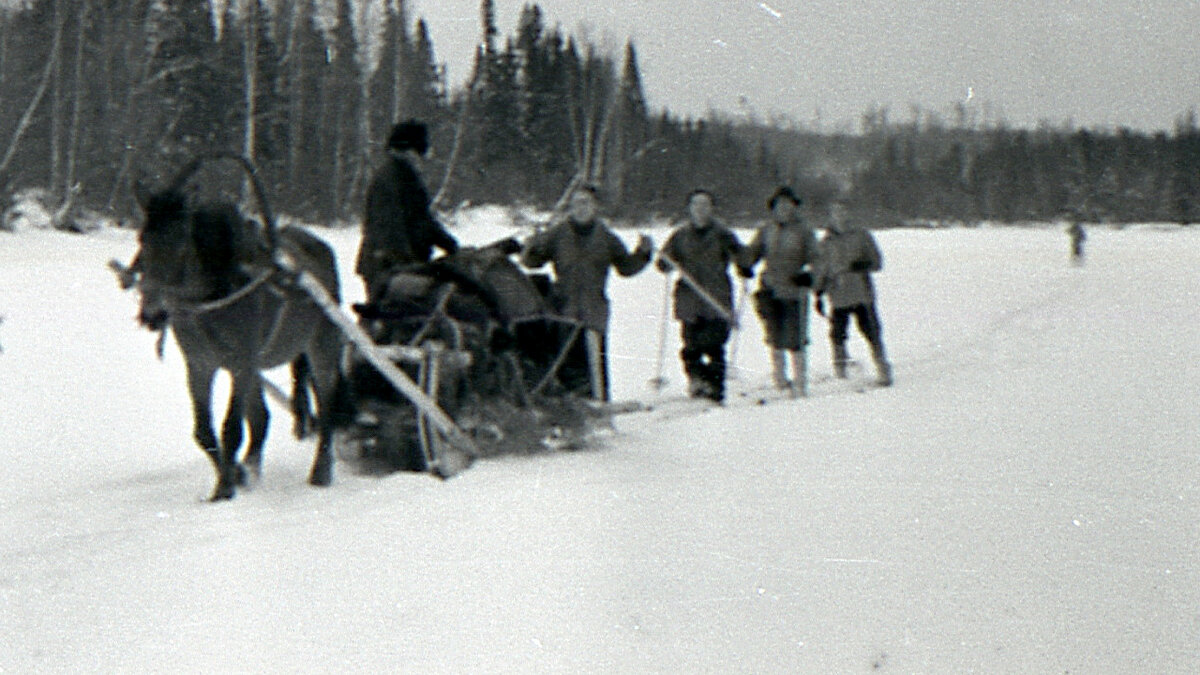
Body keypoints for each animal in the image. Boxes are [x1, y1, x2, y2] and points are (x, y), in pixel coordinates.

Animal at [133, 154, 345, 497]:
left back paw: (321, 472)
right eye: (142, 239)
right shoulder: (200, 364)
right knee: (262, 418)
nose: (152, 314)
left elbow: (231, 428)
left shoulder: (241, 362)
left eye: (181, 244)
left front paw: (224, 490)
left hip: (321, 348)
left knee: (327, 406)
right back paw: (251, 468)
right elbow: (203, 431)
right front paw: (233, 476)